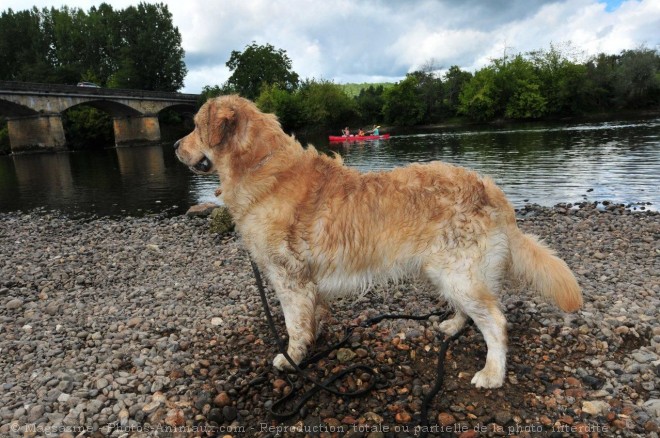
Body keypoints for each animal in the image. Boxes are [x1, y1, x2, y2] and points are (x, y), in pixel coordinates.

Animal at [175, 95, 584, 386]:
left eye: (195, 126)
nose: (177, 145)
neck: (260, 166)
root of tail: (490, 187)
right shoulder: (306, 282)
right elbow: (311, 316)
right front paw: (314, 339)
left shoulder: (287, 277)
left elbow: (292, 325)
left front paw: (292, 357)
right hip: (452, 273)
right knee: (474, 310)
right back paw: (453, 325)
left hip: (458, 272)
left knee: (496, 322)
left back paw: (493, 374)